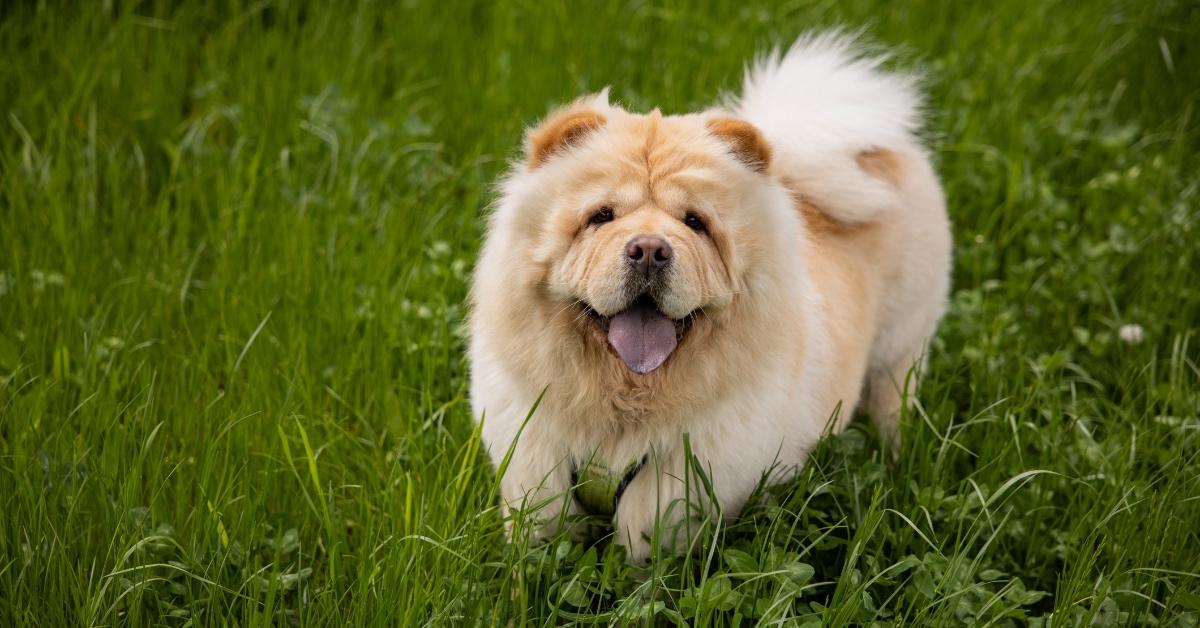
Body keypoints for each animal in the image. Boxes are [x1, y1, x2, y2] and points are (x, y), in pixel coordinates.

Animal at [468, 33, 945, 564]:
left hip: (900, 347)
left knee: (892, 401)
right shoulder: (531, 449)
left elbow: (646, 534)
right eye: (601, 216)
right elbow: (542, 527)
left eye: (695, 222)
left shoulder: (689, 474)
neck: (623, 399)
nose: (649, 250)